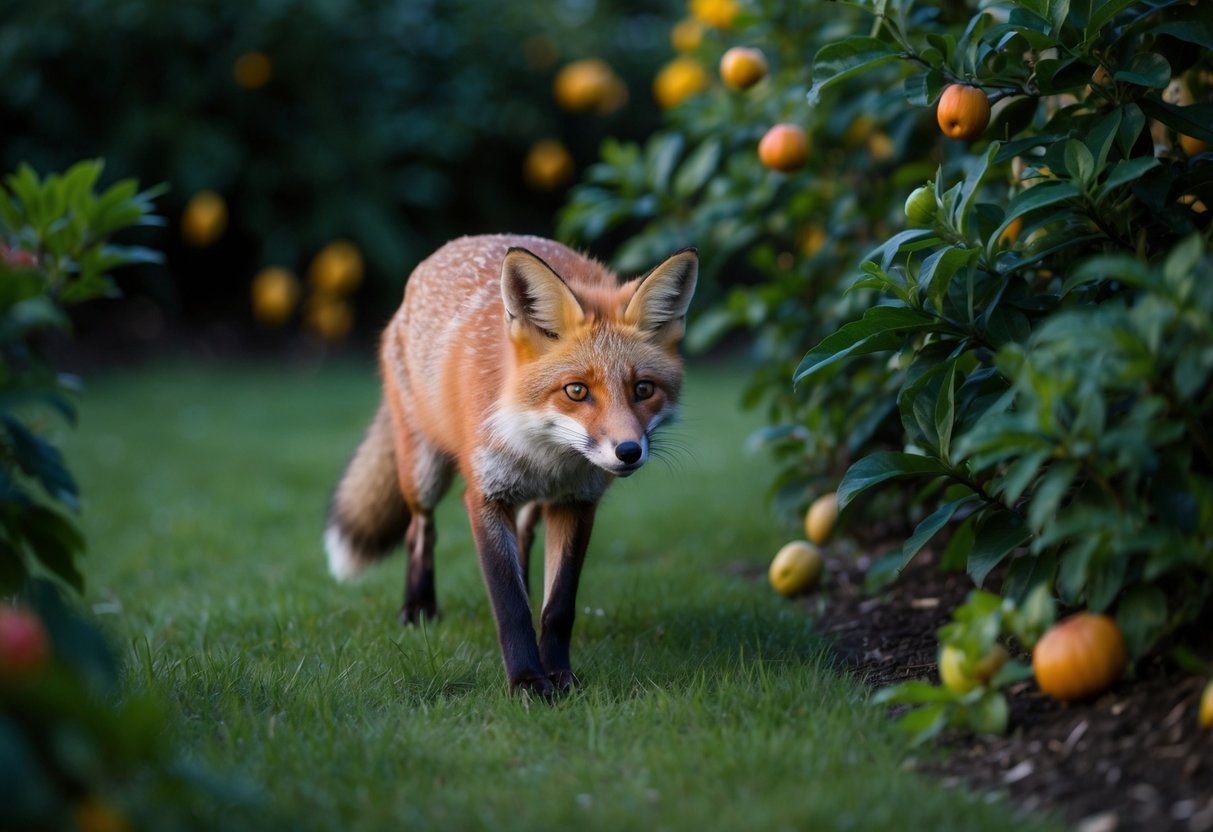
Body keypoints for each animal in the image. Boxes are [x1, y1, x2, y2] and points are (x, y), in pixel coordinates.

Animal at [324, 234, 697, 697]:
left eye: (643, 389)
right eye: (576, 391)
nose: (628, 452)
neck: (545, 455)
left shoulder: (576, 503)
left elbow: (558, 607)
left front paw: (559, 675)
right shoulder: (485, 497)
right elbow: (510, 605)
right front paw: (527, 681)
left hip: (531, 505)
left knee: (520, 542)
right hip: (424, 474)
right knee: (419, 531)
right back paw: (418, 607)